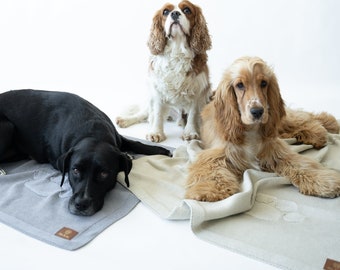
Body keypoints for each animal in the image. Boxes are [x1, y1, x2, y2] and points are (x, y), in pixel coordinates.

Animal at [0, 89, 170, 216]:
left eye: (104, 174)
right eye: (75, 170)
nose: (81, 204)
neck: (92, 131)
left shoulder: (118, 138)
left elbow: (135, 143)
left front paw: (160, 150)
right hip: (7, 126)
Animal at [117, 0, 212, 143]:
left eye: (187, 10)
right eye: (166, 12)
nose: (175, 13)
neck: (177, 49)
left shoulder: (198, 90)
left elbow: (193, 113)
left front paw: (190, 132)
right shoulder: (157, 89)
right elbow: (157, 113)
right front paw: (156, 133)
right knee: (144, 113)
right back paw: (125, 120)